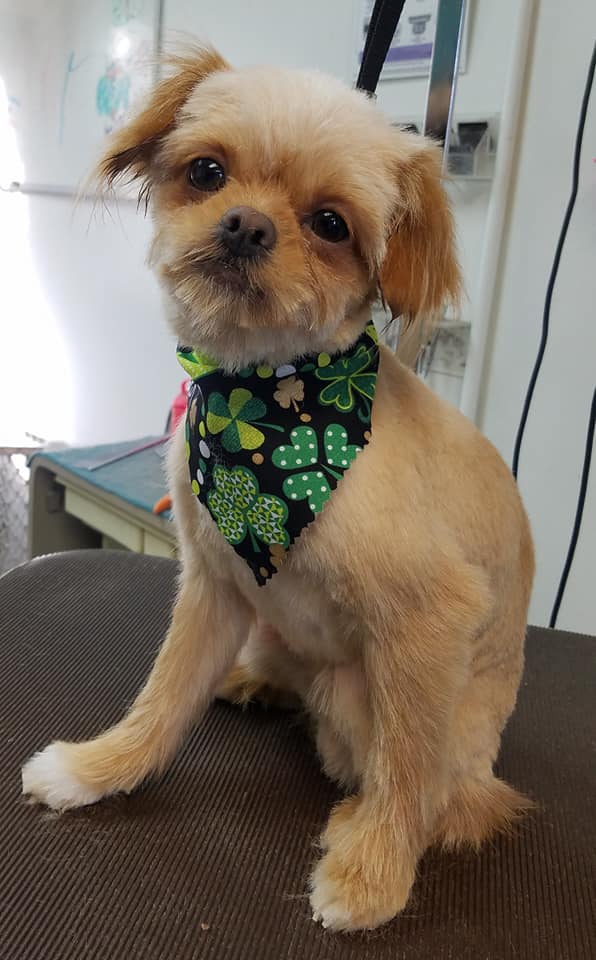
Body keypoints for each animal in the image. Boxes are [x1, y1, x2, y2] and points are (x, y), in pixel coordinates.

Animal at [22, 45, 534, 932]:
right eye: (207, 171)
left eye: (330, 224)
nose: (246, 225)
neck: (267, 405)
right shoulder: (215, 582)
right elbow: (163, 696)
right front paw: (98, 770)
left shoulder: (431, 616)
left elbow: (408, 768)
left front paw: (373, 873)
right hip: (269, 630)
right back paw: (252, 679)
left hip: (373, 700)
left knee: (440, 789)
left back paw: (365, 814)